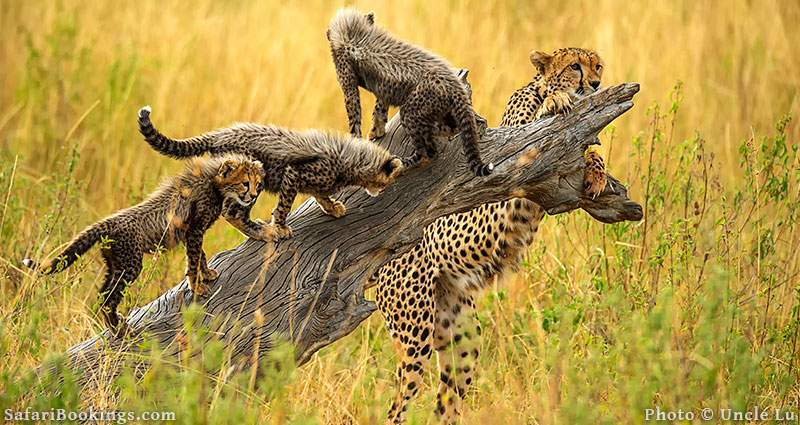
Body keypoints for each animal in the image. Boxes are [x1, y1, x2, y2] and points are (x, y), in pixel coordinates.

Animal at [372, 48, 608, 422]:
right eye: (575, 66)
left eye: (598, 65)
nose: (597, 83)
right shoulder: (510, 165)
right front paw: (555, 101)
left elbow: (590, 151)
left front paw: (597, 174)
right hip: (414, 333)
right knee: (399, 404)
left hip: (462, 333)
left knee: (447, 398)